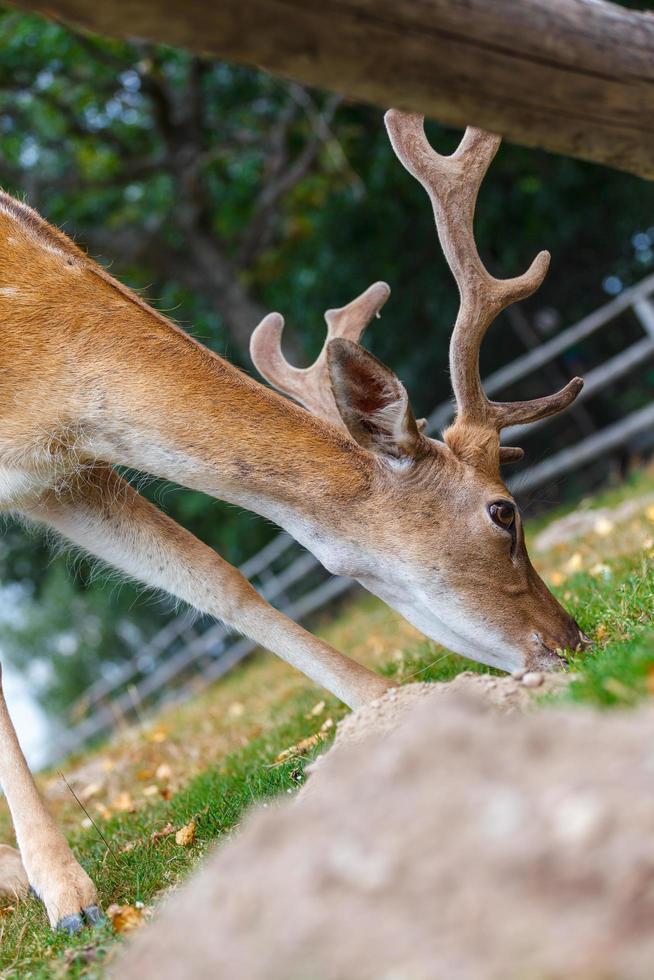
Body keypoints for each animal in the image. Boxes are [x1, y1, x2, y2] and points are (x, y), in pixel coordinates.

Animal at [0, 109, 588, 936]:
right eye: (503, 512)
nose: (571, 639)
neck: (32, 373)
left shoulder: (62, 473)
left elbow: (212, 578)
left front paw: (390, 706)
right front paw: (69, 897)